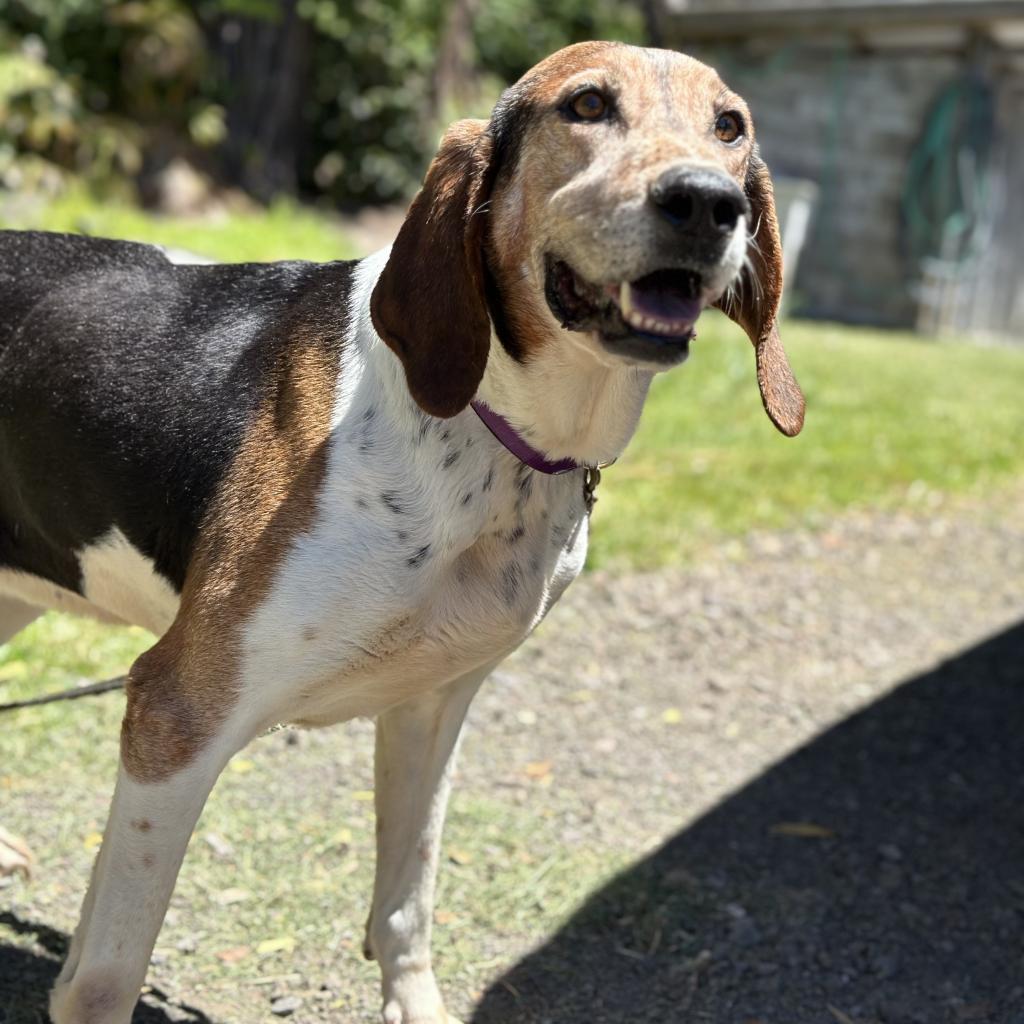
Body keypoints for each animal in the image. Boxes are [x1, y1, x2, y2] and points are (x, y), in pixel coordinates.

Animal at [0, 39, 798, 1024]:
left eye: (730, 126)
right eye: (586, 104)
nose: (708, 203)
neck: (494, 431)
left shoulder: (431, 705)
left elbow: (405, 907)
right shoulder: (178, 715)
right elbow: (107, 975)